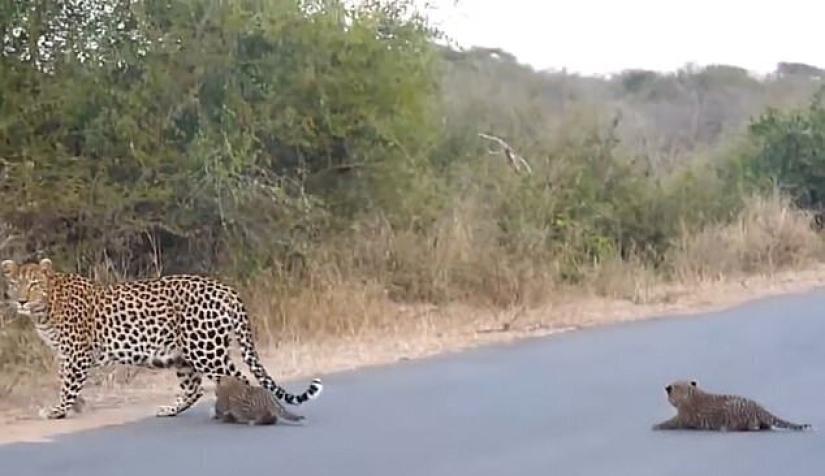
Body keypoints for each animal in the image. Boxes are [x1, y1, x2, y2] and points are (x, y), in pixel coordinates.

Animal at [1, 257, 324, 420]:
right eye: (14, 283)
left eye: (34, 284)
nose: (21, 301)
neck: (47, 306)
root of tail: (226, 289)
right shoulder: (64, 353)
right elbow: (64, 380)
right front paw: (76, 405)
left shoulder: (77, 353)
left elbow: (68, 383)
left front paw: (58, 410)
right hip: (184, 355)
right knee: (195, 388)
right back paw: (170, 410)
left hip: (206, 349)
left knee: (238, 379)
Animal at [651, 379, 811, 432]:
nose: (667, 390)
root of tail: (759, 408)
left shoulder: (683, 419)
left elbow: (670, 422)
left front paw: (656, 425)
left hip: (733, 413)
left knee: (751, 426)